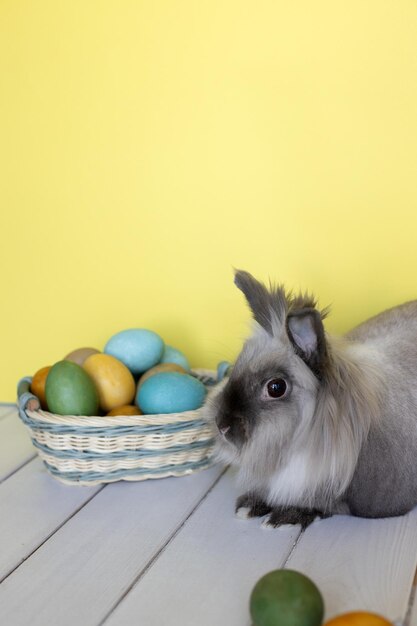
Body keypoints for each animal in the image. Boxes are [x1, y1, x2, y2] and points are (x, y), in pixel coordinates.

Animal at [205, 268, 417, 528]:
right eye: (237, 366)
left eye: (276, 387)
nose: (222, 425)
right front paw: (250, 505)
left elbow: (323, 504)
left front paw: (284, 515)